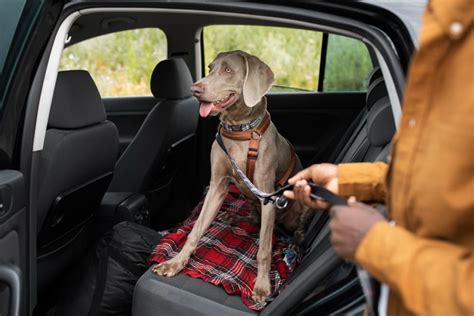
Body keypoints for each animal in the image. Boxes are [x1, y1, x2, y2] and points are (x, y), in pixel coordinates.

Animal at [154, 50, 312, 302]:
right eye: (210, 67)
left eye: (228, 70)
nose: (194, 89)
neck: (240, 130)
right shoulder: (217, 186)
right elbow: (196, 230)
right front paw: (176, 263)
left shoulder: (267, 197)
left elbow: (264, 250)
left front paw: (262, 286)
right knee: (254, 220)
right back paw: (231, 217)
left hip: (301, 199)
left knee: (296, 230)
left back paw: (295, 246)